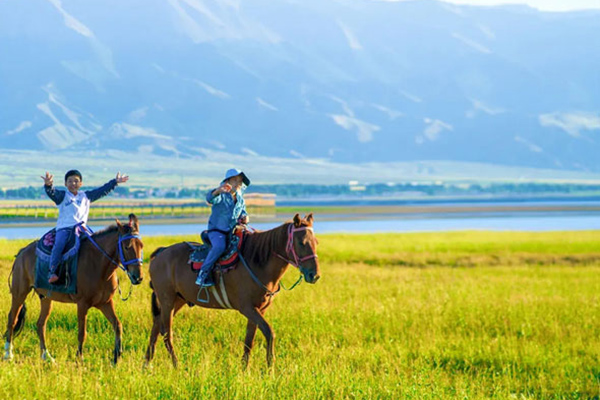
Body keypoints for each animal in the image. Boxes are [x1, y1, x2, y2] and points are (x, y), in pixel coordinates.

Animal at [2, 214, 144, 364]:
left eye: (141, 245)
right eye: (127, 246)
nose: (138, 277)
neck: (99, 265)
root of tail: (22, 252)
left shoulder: (105, 303)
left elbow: (118, 325)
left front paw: (116, 357)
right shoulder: (82, 304)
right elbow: (82, 332)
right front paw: (79, 358)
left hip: (46, 298)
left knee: (40, 324)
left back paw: (47, 357)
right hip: (19, 293)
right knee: (12, 319)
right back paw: (8, 354)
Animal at [146, 212, 322, 368]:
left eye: (316, 242)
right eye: (301, 243)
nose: (314, 275)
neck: (257, 261)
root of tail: (161, 253)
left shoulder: (259, 310)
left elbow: (249, 340)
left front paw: (244, 369)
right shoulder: (247, 308)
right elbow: (269, 332)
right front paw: (270, 369)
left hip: (178, 300)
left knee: (156, 326)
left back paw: (146, 364)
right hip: (167, 300)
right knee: (166, 333)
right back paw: (177, 366)